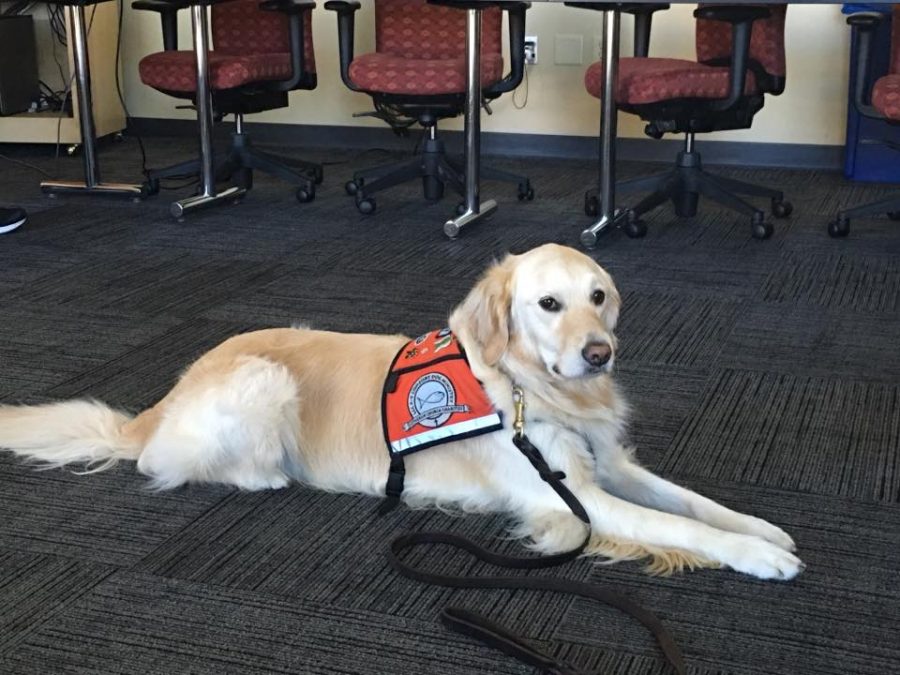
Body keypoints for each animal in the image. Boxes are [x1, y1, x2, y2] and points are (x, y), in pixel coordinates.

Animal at [0, 243, 800, 580]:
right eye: (548, 303)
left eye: (598, 296)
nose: (599, 353)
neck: (528, 387)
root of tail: (161, 398)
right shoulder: (568, 498)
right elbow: (677, 526)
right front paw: (759, 558)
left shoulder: (606, 464)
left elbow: (690, 501)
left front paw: (761, 529)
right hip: (264, 378)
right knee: (167, 464)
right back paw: (273, 474)